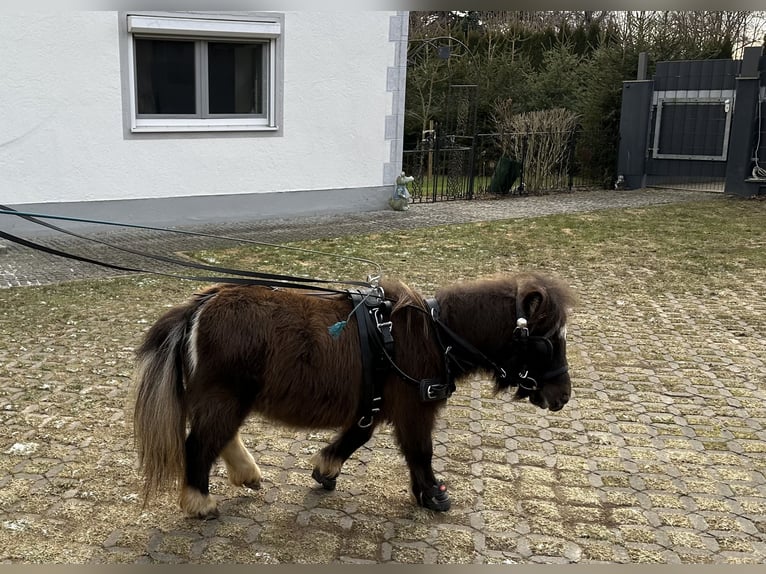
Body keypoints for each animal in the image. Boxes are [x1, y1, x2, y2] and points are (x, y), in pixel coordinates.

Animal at [132, 272, 576, 520]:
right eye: (545, 343)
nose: (563, 396)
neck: (433, 336)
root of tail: (199, 307)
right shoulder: (414, 408)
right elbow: (420, 450)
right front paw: (433, 494)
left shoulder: (374, 404)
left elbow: (356, 436)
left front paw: (325, 469)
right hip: (225, 395)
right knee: (200, 443)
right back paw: (200, 503)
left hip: (226, 397)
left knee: (219, 437)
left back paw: (247, 475)